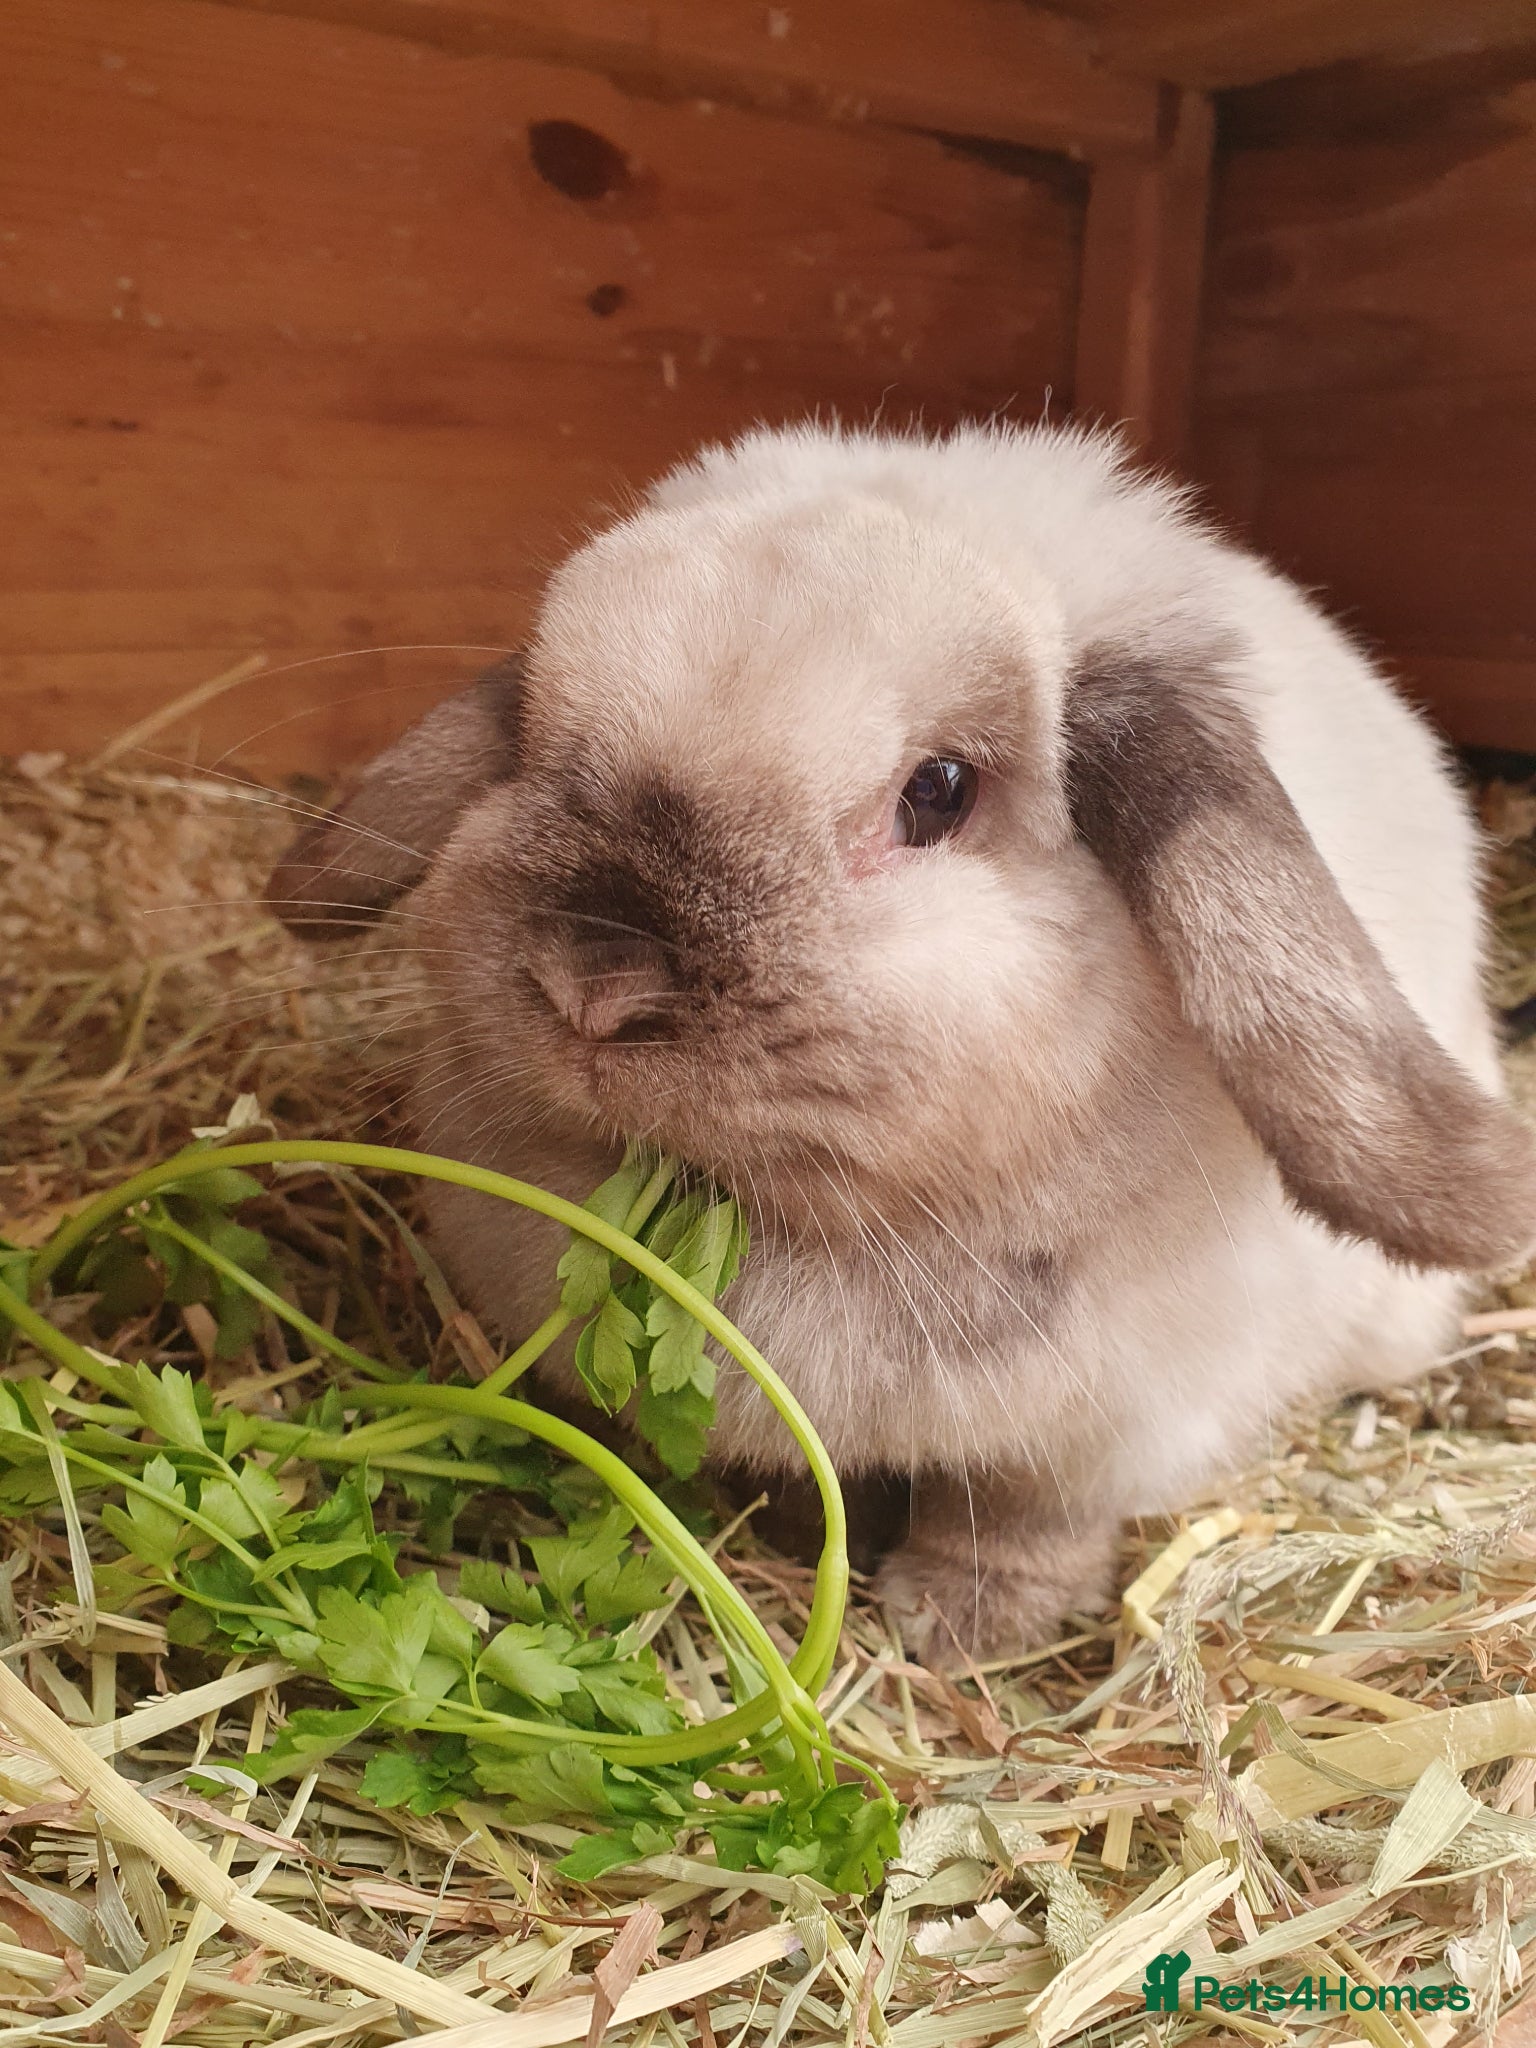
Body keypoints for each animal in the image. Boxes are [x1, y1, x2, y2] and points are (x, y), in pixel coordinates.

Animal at [268, 421, 1536, 1662]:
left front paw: (960, 1624)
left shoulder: (1111, 1422)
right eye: (531, 728)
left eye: (939, 791)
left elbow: (1026, 1521)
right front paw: (801, 1527)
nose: (594, 985)